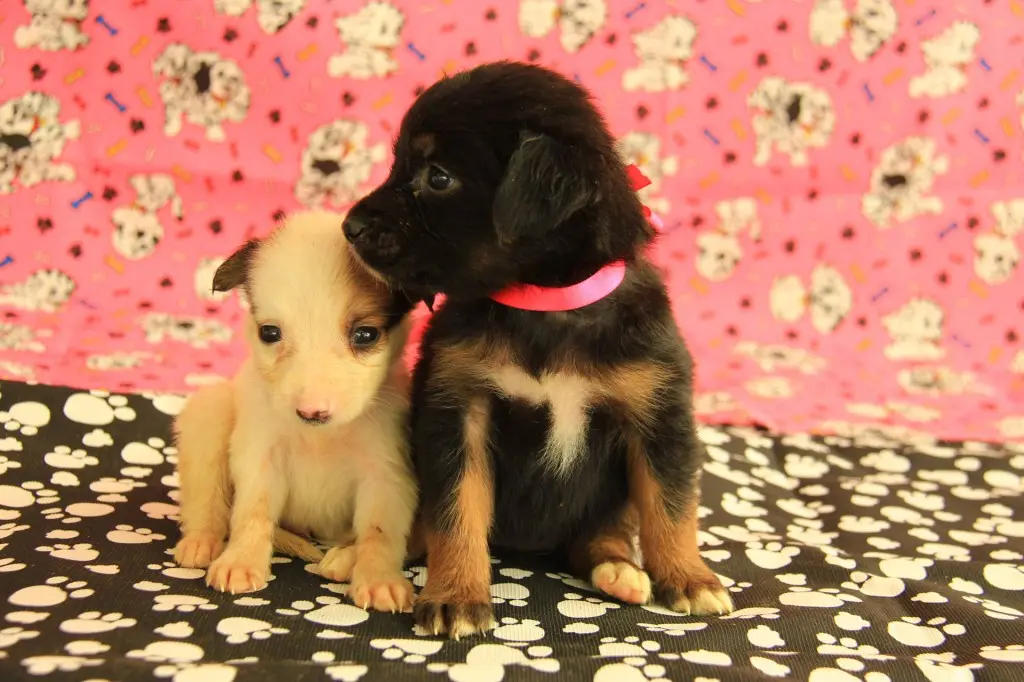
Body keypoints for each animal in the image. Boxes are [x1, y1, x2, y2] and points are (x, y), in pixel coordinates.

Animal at [174, 209, 417, 606]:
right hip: (208, 416)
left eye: (365, 335)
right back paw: (200, 542)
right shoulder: (260, 455)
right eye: (270, 333)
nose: (312, 412)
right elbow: (252, 512)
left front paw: (379, 579)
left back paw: (344, 559)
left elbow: (380, 531)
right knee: (207, 501)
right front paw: (241, 561)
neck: (320, 437)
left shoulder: (386, 472)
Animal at [344, 61, 737, 634]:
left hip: (605, 506)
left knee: (603, 535)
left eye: (438, 177)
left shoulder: (659, 413)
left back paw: (620, 571)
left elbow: (671, 505)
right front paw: (456, 595)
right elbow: (455, 512)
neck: (545, 306)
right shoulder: (459, 410)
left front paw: (689, 578)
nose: (349, 227)